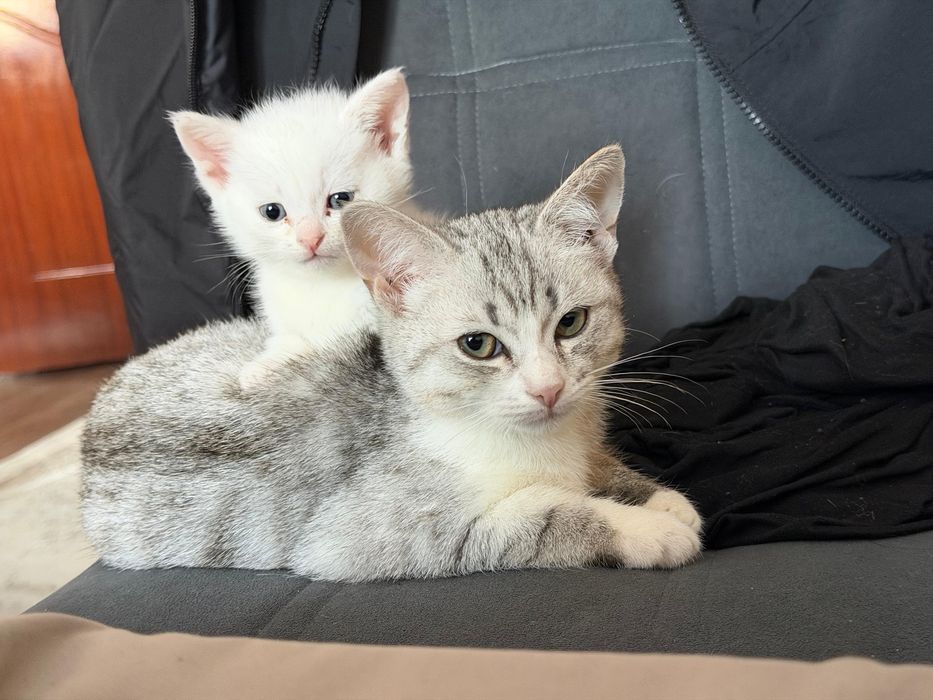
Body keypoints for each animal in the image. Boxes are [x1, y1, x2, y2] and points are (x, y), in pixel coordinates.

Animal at [81, 145, 702, 582]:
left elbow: (596, 467)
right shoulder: (360, 536)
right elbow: (540, 517)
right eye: (478, 345)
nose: (548, 389)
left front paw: (656, 496)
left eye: (571, 323)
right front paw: (649, 529)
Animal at [171, 68, 424, 390]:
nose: (310, 238)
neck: (322, 287)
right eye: (272, 212)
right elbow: (291, 340)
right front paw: (264, 364)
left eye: (340, 199)